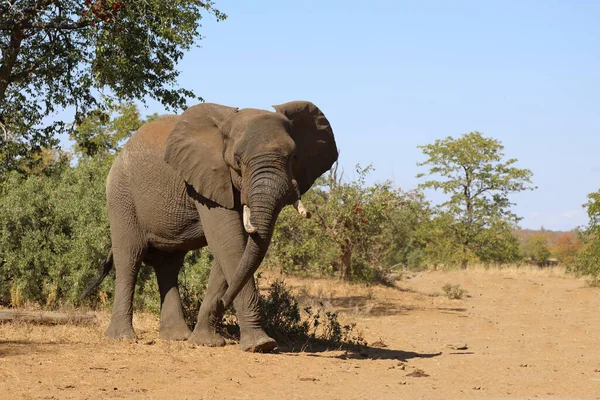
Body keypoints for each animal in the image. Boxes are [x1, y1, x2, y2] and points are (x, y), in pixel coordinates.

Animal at [82, 101, 338, 354]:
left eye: (293, 157)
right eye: (237, 160)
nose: (223, 301)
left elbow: (234, 250)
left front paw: (206, 341)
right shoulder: (209, 179)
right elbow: (229, 243)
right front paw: (260, 344)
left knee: (169, 265)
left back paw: (177, 337)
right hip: (121, 195)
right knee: (129, 257)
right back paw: (123, 337)